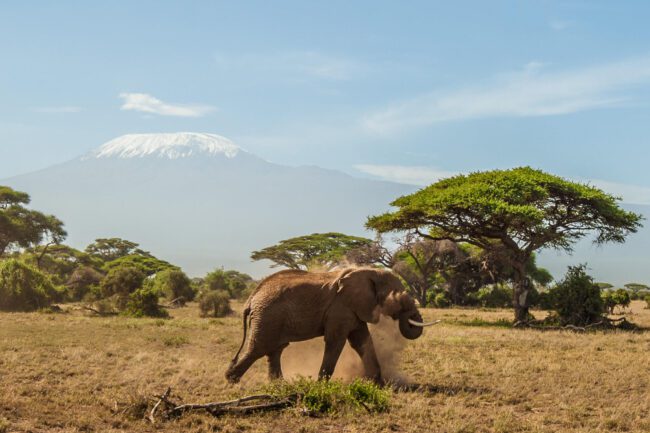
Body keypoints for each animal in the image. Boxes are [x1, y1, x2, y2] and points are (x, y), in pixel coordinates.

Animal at [224, 264, 436, 384]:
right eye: (397, 297)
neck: (368, 272)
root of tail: (251, 298)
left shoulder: (353, 309)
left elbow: (362, 341)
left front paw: (377, 383)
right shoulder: (340, 308)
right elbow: (336, 341)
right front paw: (321, 385)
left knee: (275, 349)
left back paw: (279, 385)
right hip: (268, 316)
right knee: (258, 348)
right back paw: (231, 381)